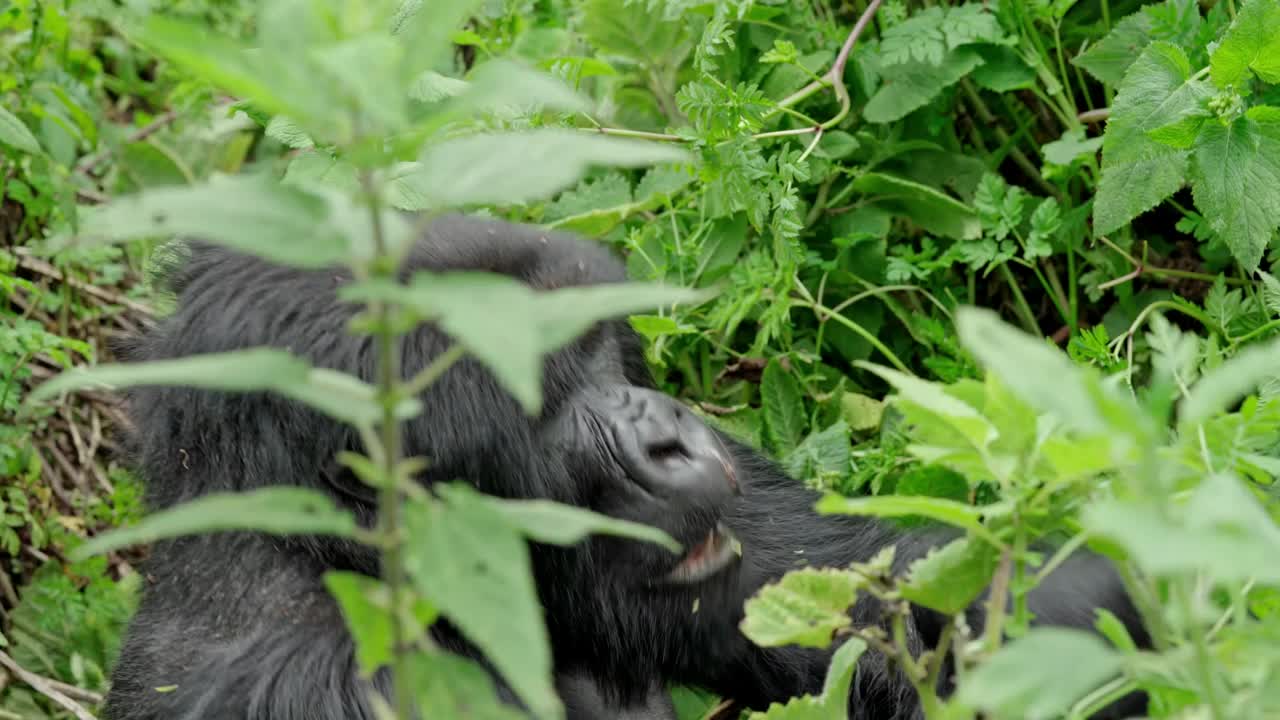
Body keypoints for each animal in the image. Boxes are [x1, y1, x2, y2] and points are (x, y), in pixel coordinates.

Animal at [102, 213, 1152, 717]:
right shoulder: (334, 684)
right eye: (541, 389)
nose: (670, 437)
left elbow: (829, 594)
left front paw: (1071, 610)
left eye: (595, 348)